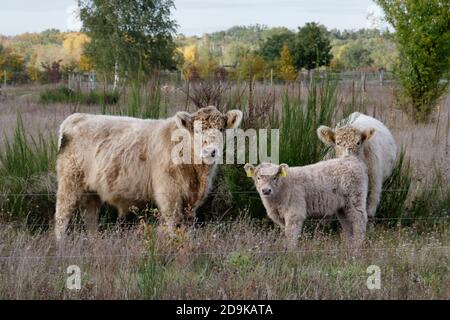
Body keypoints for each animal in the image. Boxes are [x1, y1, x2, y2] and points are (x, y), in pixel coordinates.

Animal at [55, 106, 243, 239]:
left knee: (90, 218)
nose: (210, 151)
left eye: (221, 129)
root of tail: (77, 117)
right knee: (61, 217)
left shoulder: (192, 202)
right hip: (69, 183)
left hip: (91, 191)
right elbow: (172, 224)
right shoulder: (169, 195)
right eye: (196, 130)